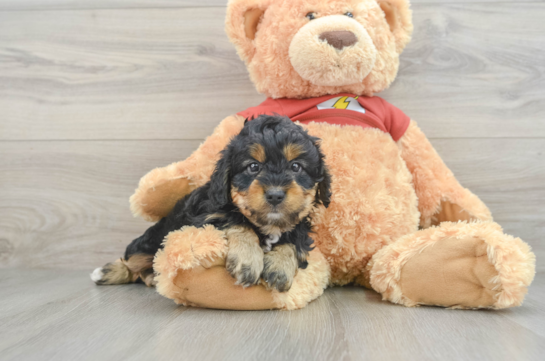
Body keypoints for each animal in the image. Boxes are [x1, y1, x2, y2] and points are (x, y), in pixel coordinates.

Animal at [91, 114, 330, 292]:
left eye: (296, 167)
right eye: (253, 167)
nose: (275, 195)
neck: (267, 225)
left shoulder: (300, 226)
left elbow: (295, 240)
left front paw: (280, 267)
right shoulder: (207, 216)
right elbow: (237, 222)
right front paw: (247, 260)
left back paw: (151, 276)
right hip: (151, 241)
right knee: (132, 261)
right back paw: (106, 272)